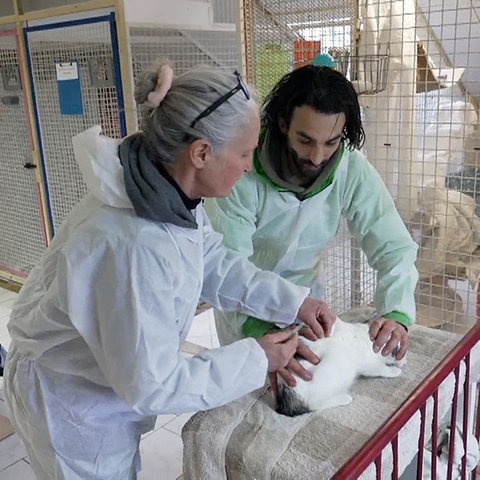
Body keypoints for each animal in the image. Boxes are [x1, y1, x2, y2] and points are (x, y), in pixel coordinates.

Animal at [276, 318, 406, 416]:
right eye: (402, 354)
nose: (404, 362)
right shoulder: (370, 365)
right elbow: (382, 369)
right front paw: (395, 370)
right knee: (314, 405)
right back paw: (345, 398)